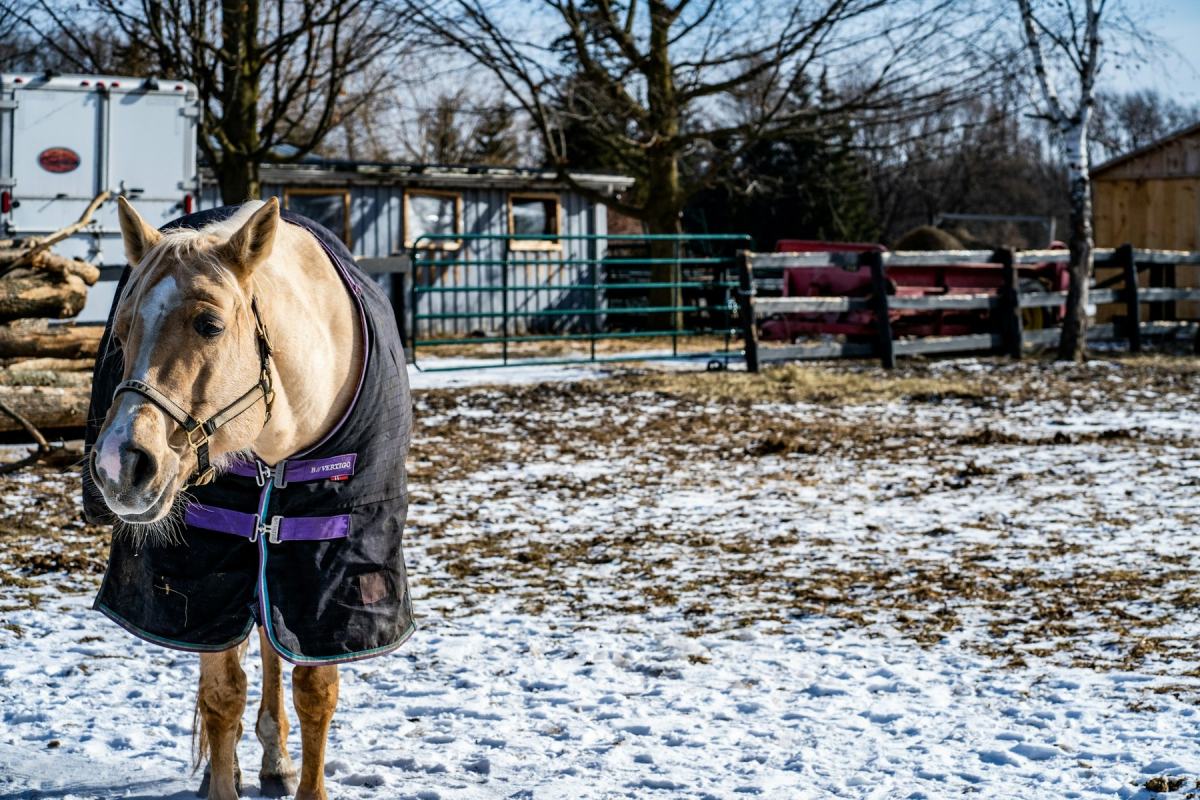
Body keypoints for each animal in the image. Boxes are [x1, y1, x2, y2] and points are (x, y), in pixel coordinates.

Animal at [85, 197, 413, 800]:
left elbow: (313, 690)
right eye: (120, 329)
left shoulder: (327, 567)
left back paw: (275, 759)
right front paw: (221, 778)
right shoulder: (208, 558)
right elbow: (221, 694)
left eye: (210, 325)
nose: (120, 462)